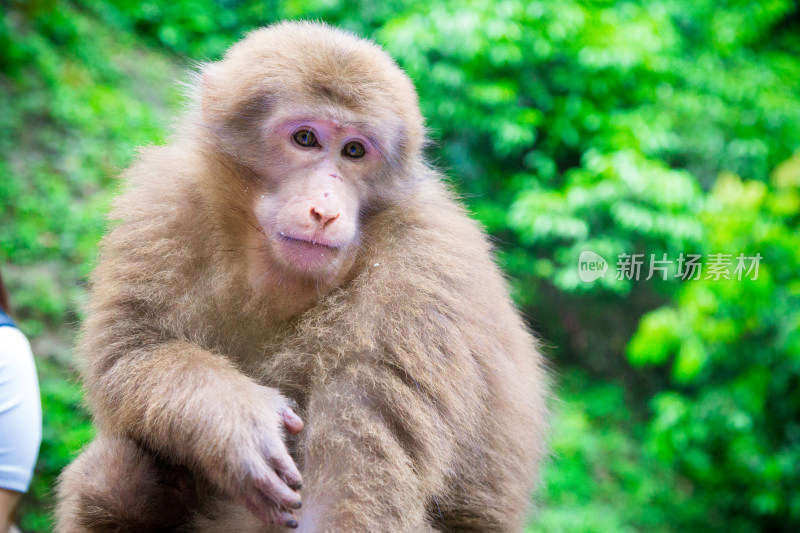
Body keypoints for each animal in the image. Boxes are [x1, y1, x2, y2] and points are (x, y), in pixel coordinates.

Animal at [56, 20, 552, 532]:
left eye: (354, 151)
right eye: (306, 139)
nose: (326, 209)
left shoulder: (415, 285)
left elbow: (341, 500)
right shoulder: (165, 204)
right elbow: (128, 353)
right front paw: (230, 419)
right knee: (117, 473)